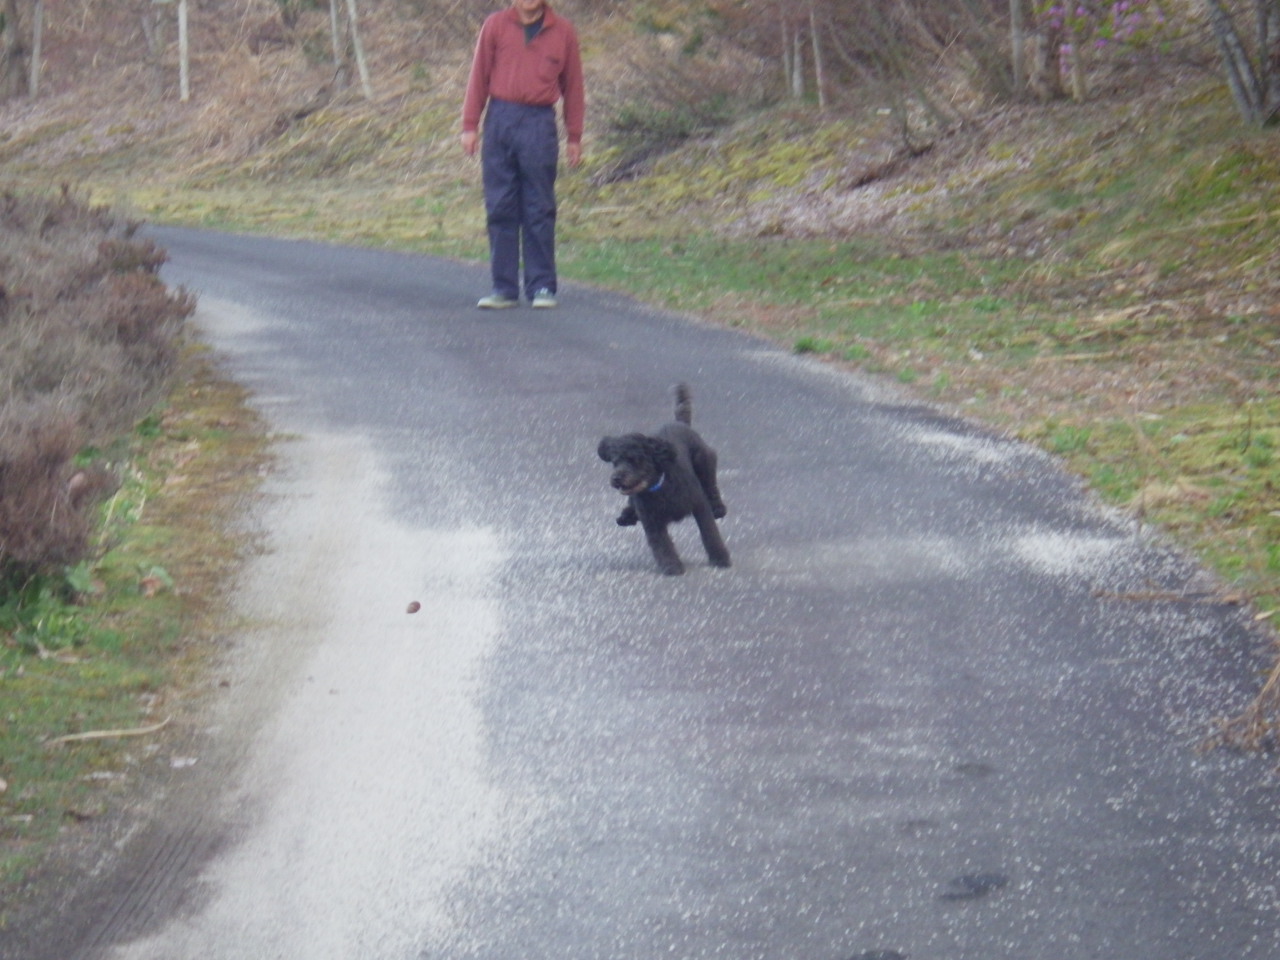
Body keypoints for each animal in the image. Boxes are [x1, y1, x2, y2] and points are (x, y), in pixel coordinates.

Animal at [591, 386, 727, 578]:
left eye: (636, 460)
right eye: (615, 461)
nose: (617, 478)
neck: (659, 487)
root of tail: (681, 423)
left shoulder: (700, 507)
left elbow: (710, 534)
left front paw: (721, 558)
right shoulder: (652, 522)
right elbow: (662, 545)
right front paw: (672, 567)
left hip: (705, 461)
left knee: (711, 487)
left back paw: (719, 508)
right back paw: (627, 516)